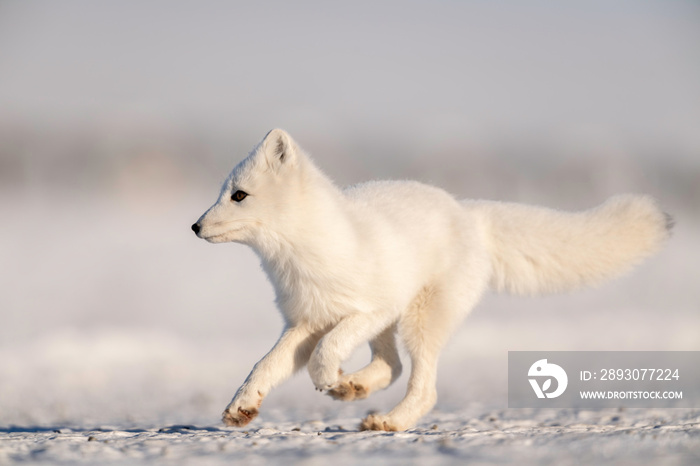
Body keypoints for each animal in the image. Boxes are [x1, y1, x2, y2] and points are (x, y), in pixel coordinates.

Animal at [191, 129, 672, 432]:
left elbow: (327, 351)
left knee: (424, 387)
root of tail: (469, 212)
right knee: (392, 367)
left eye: (238, 195)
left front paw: (328, 377)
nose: (194, 226)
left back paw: (388, 420)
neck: (302, 259)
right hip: (395, 326)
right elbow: (265, 366)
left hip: (417, 320)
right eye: (222, 193)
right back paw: (357, 388)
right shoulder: (304, 323)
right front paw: (242, 407)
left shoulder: (369, 308)